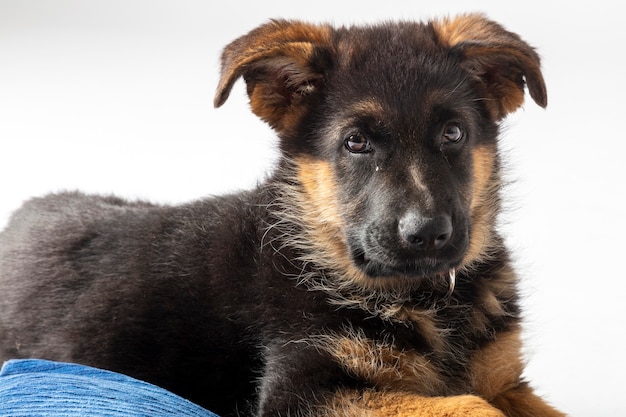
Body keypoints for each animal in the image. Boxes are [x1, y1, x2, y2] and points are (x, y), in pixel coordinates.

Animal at [0, 13, 564, 416]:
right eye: (355, 142)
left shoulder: (506, 380)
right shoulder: (301, 391)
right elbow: (472, 405)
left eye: (453, 134)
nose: (426, 234)